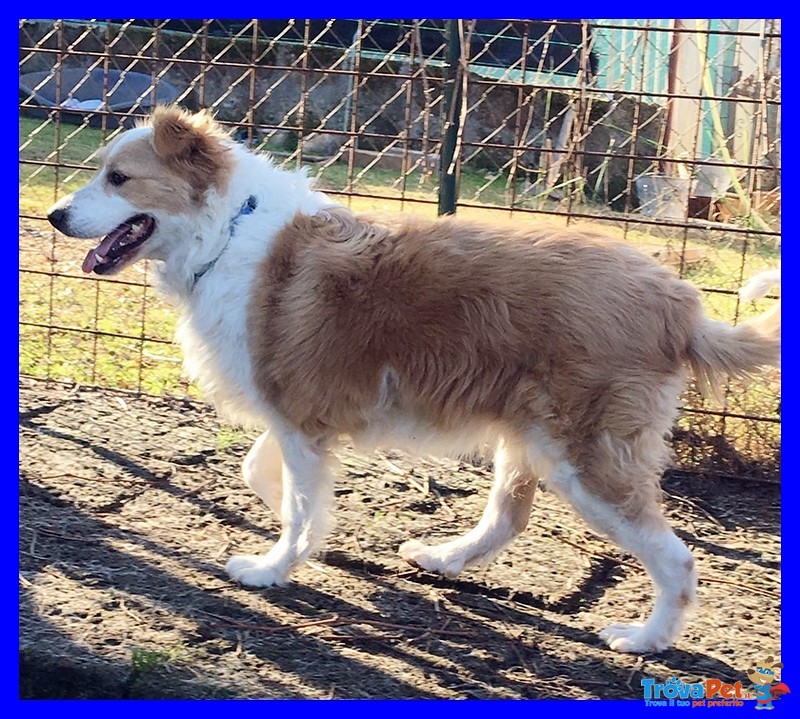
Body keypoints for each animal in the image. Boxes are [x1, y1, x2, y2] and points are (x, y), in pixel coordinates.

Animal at [47, 105, 780, 652]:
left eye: (119, 178)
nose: (53, 216)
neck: (226, 229)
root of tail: (678, 299)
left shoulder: (299, 418)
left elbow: (298, 507)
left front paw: (274, 567)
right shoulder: (296, 417)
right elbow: (267, 478)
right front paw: (302, 535)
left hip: (587, 458)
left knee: (676, 558)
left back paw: (646, 638)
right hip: (529, 436)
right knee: (509, 515)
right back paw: (445, 560)